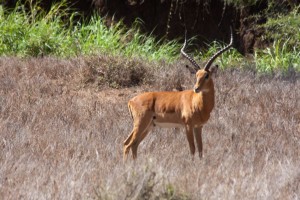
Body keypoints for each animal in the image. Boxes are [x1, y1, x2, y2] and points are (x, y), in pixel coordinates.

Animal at [123, 30, 233, 161]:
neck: (198, 104)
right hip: (141, 124)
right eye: (196, 74)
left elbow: (201, 148)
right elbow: (192, 148)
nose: (196, 88)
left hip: (148, 126)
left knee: (131, 144)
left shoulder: (199, 127)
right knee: (128, 144)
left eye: (207, 75)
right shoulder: (188, 125)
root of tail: (131, 101)